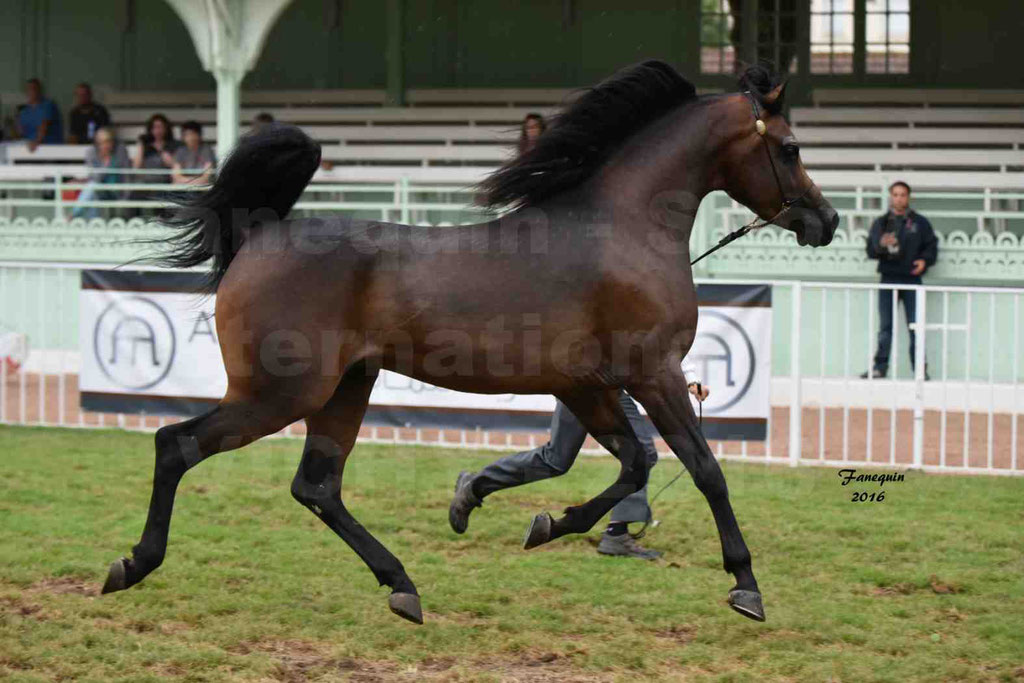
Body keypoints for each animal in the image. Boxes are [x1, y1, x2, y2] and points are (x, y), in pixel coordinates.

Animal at [101, 62, 839, 626]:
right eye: (792, 147)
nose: (827, 222)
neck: (621, 230)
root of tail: (259, 232)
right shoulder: (653, 373)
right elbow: (703, 468)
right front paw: (746, 586)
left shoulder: (587, 386)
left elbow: (634, 464)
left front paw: (541, 522)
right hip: (279, 393)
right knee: (177, 445)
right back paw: (132, 564)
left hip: (344, 388)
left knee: (316, 485)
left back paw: (402, 586)